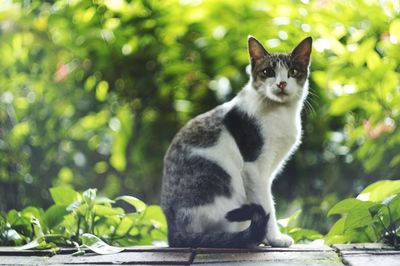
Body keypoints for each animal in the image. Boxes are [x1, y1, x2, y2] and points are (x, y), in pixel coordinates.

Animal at [160, 34, 312, 247]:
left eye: (293, 72)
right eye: (268, 72)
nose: (281, 84)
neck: (281, 113)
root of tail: (173, 232)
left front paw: (268, 238)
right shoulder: (253, 169)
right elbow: (267, 205)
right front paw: (274, 238)